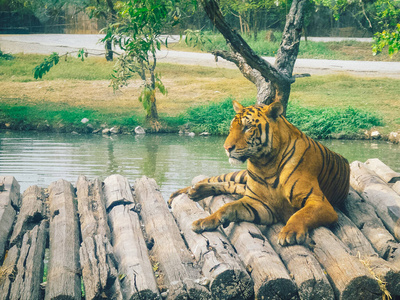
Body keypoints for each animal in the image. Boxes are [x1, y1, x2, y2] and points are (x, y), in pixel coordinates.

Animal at [169, 101, 350, 246]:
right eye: (231, 128)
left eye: (247, 127)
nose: (227, 148)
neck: (266, 164)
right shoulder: (259, 202)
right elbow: (227, 207)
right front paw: (204, 221)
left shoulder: (319, 202)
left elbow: (301, 215)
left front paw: (289, 232)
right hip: (241, 176)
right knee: (222, 180)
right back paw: (186, 192)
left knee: (232, 185)